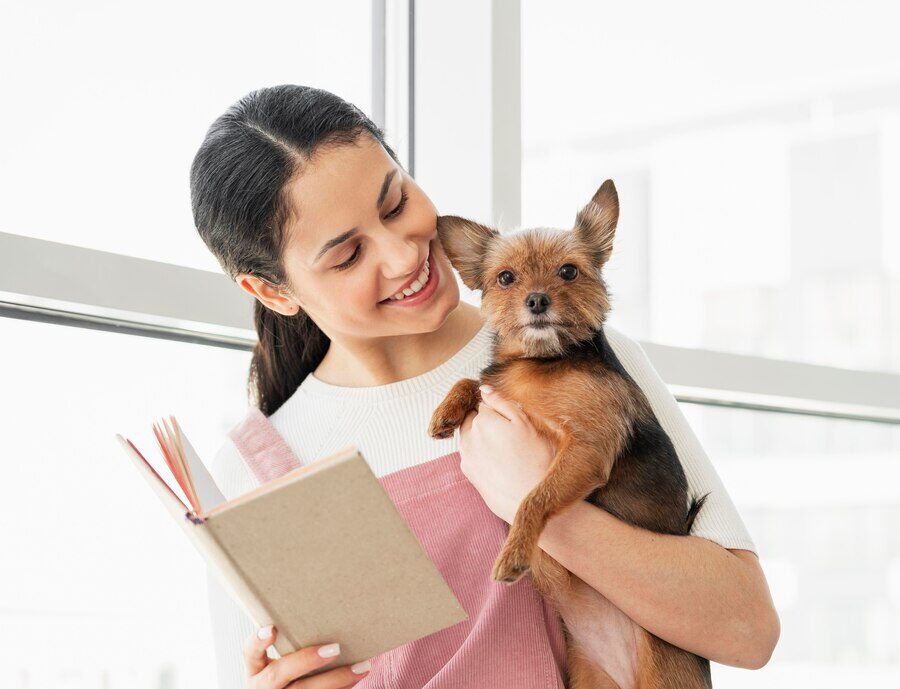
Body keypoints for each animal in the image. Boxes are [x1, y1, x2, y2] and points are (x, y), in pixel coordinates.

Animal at [428, 180, 712, 688]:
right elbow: (474, 381)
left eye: (568, 271)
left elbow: (534, 497)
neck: (543, 361)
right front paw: (447, 410)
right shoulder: (507, 390)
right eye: (506, 278)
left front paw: (515, 551)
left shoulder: (586, 450)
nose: (538, 300)